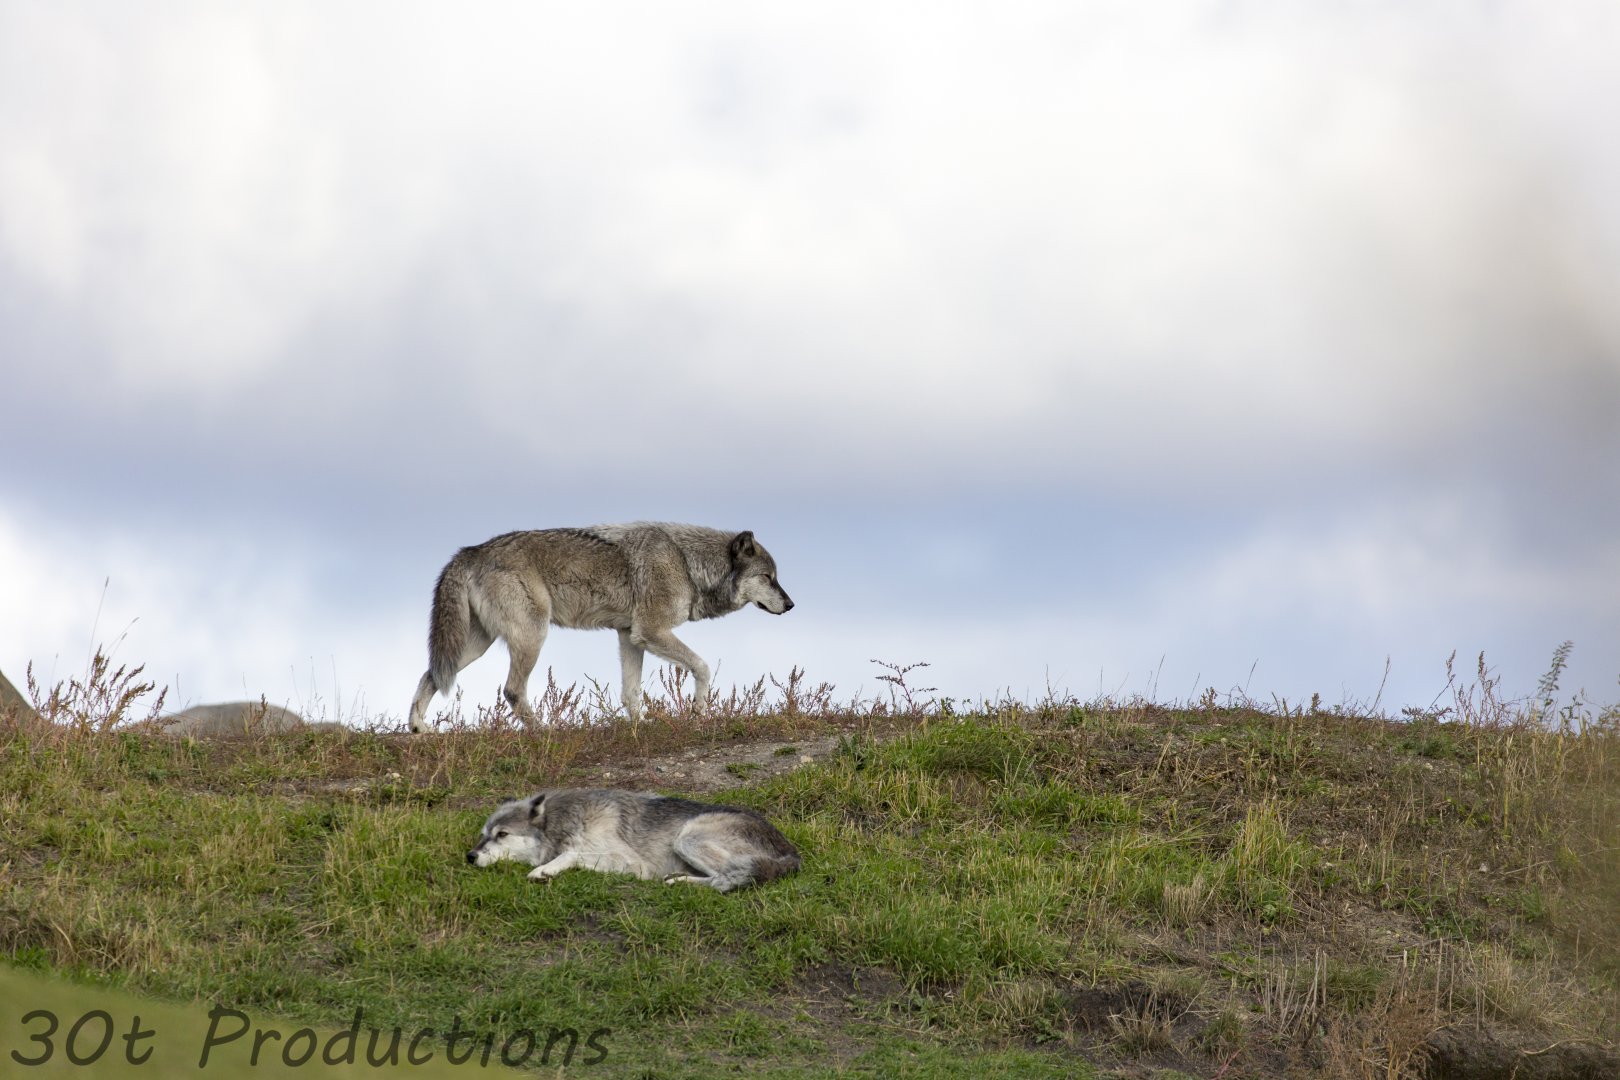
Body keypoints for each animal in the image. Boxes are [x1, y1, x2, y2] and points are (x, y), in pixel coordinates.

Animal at [407, 523, 793, 732]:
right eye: (767, 577)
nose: (790, 605)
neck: (687, 563)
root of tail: (471, 551)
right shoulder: (652, 631)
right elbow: (702, 666)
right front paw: (699, 709)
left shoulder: (630, 636)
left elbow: (631, 693)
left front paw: (640, 726)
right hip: (532, 636)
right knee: (513, 691)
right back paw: (545, 731)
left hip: (474, 645)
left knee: (429, 674)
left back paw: (419, 729)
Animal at [466, 788, 801, 892]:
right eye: (484, 835)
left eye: (502, 835)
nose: (470, 856)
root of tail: (793, 854)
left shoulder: (633, 865)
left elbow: (571, 855)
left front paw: (544, 870)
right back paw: (678, 879)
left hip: (687, 838)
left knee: (726, 878)